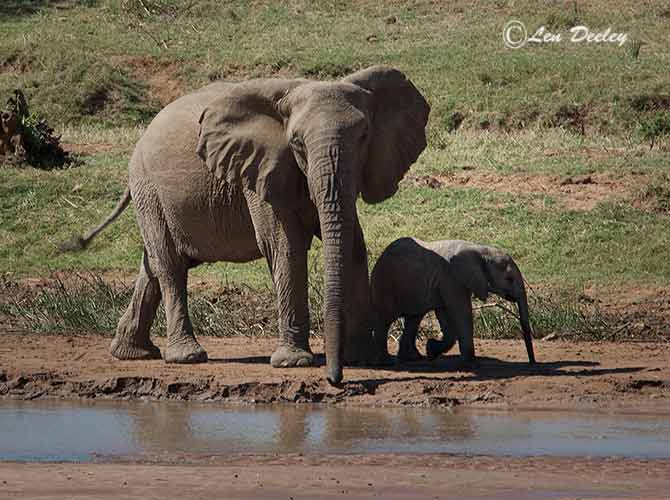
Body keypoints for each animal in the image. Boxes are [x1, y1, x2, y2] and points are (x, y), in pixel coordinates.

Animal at [71, 65, 434, 382]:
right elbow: (284, 246)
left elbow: (354, 243)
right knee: (170, 265)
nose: (335, 379)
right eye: (297, 142)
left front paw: (365, 358)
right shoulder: (260, 168)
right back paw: (186, 357)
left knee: (153, 266)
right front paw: (293, 363)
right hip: (149, 189)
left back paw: (133, 353)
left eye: (364, 137)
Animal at [372, 238, 536, 368]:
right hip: (385, 283)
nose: (532, 363)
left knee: (414, 319)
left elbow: (446, 316)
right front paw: (472, 365)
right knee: (385, 319)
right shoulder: (451, 278)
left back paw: (413, 358)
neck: (480, 249)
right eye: (509, 279)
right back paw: (386, 361)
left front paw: (431, 351)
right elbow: (461, 313)